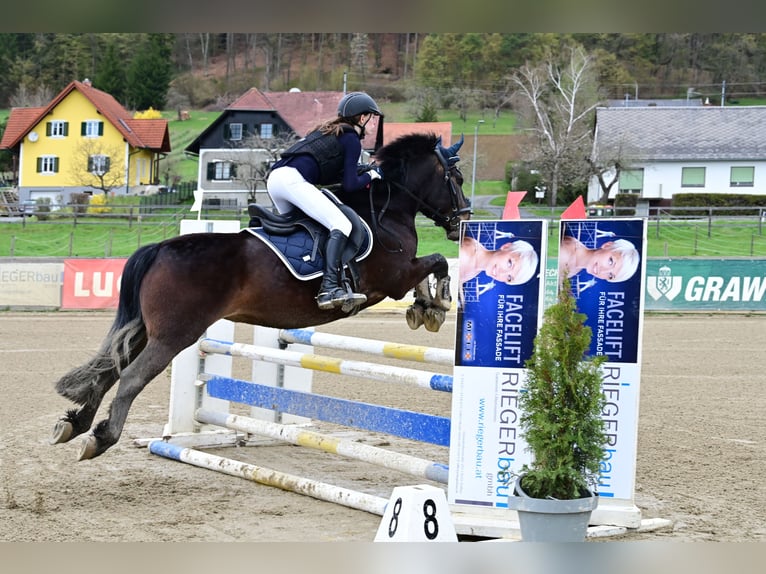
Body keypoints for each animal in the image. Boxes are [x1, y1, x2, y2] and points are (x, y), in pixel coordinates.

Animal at [51, 134, 472, 464]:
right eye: (455, 178)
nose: (461, 222)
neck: (387, 210)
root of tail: (160, 249)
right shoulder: (393, 278)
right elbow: (436, 262)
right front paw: (436, 304)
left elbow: (431, 267)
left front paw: (425, 308)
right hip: (174, 335)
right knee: (130, 377)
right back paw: (101, 438)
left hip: (147, 330)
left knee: (109, 368)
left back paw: (74, 424)